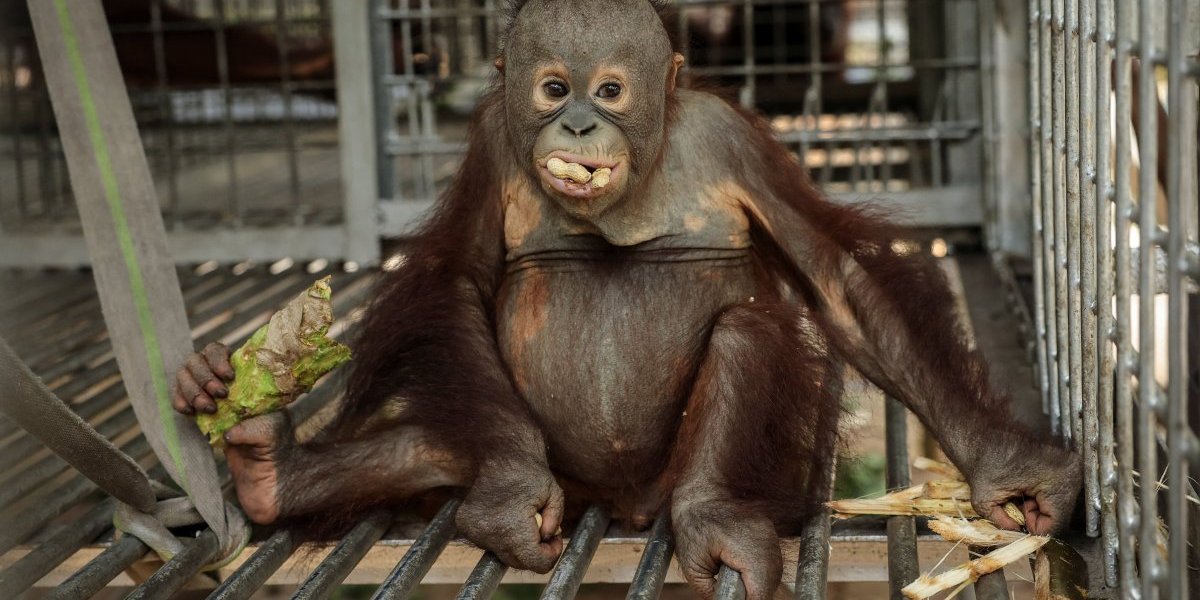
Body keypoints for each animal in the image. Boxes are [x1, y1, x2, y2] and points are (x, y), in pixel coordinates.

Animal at [173, 1, 1082, 598]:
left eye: (609, 91)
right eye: (552, 89)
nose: (578, 126)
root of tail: (620, 507)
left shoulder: (731, 137)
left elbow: (835, 279)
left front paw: (1007, 465)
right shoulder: (492, 141)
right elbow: (460, 279)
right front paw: (508, 490)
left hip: (687, 477)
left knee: (746, 331)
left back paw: (714, 519)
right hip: (563, 478)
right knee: (443, 441)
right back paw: (267, 463)